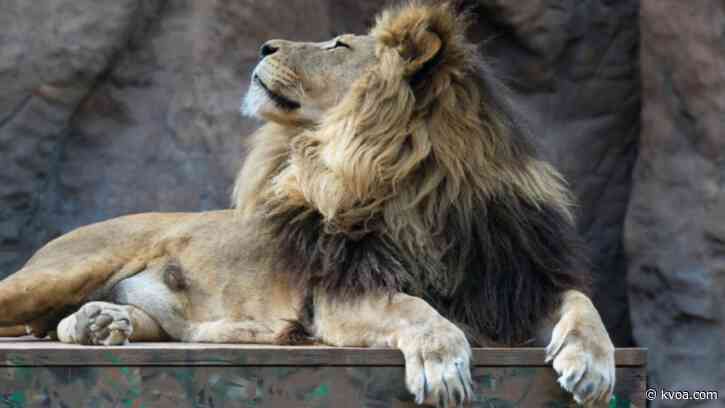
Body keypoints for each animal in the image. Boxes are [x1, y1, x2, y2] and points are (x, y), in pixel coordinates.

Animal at [0, 2, 615, 407]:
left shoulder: (510, 278)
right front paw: (442, 362)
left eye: (338, 46)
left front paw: (593, 365)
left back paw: (101, 323)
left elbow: (583, 303)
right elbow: (414, 308)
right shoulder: (342, 293)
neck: (415, 186)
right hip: (59, 272)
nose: (264, 46)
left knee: (68, 326)